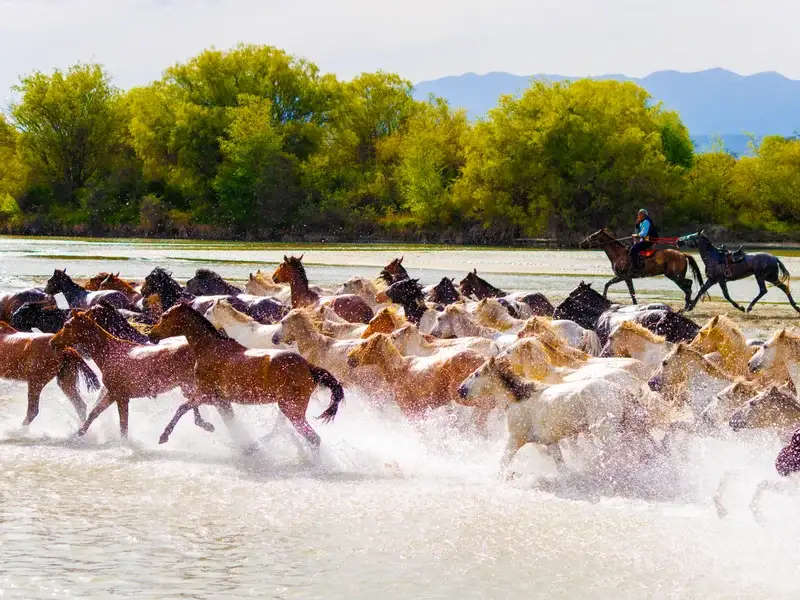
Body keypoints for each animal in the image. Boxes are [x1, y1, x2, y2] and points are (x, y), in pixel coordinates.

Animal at [50, 310, 215, 438]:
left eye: (67, 325)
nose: (52, 341)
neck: (109, 353)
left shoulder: (122, 397)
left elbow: (123, 426)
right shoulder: (112, 393)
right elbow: (94, 412)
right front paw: (80, 433)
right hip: (186, 385)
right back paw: (205, 425)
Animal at [149, 303, 345, 450]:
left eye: (165, 316)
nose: (151, 334)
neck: (210, 349)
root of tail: (309, 367)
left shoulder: (206, 393)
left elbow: (182, 408)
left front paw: (164, 435)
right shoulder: (218, 399)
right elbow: (225, 420)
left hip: (292, 409)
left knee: (313, 438)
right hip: (288, 408)